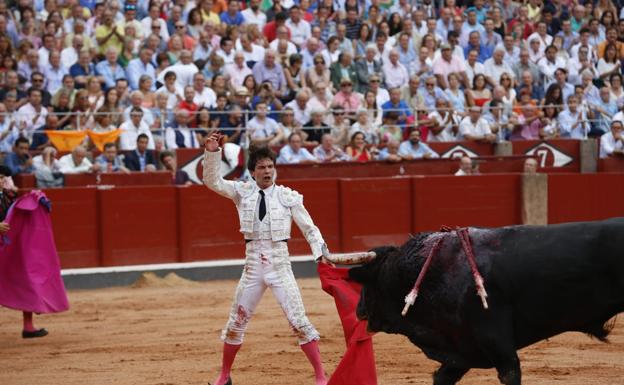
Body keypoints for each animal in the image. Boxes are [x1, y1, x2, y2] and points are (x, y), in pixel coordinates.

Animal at [346, 219, 624, 384]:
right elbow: (441, 378)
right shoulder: (461, 350)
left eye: (366, 284)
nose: (358, 310)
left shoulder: (496, 344)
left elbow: (511, 373)